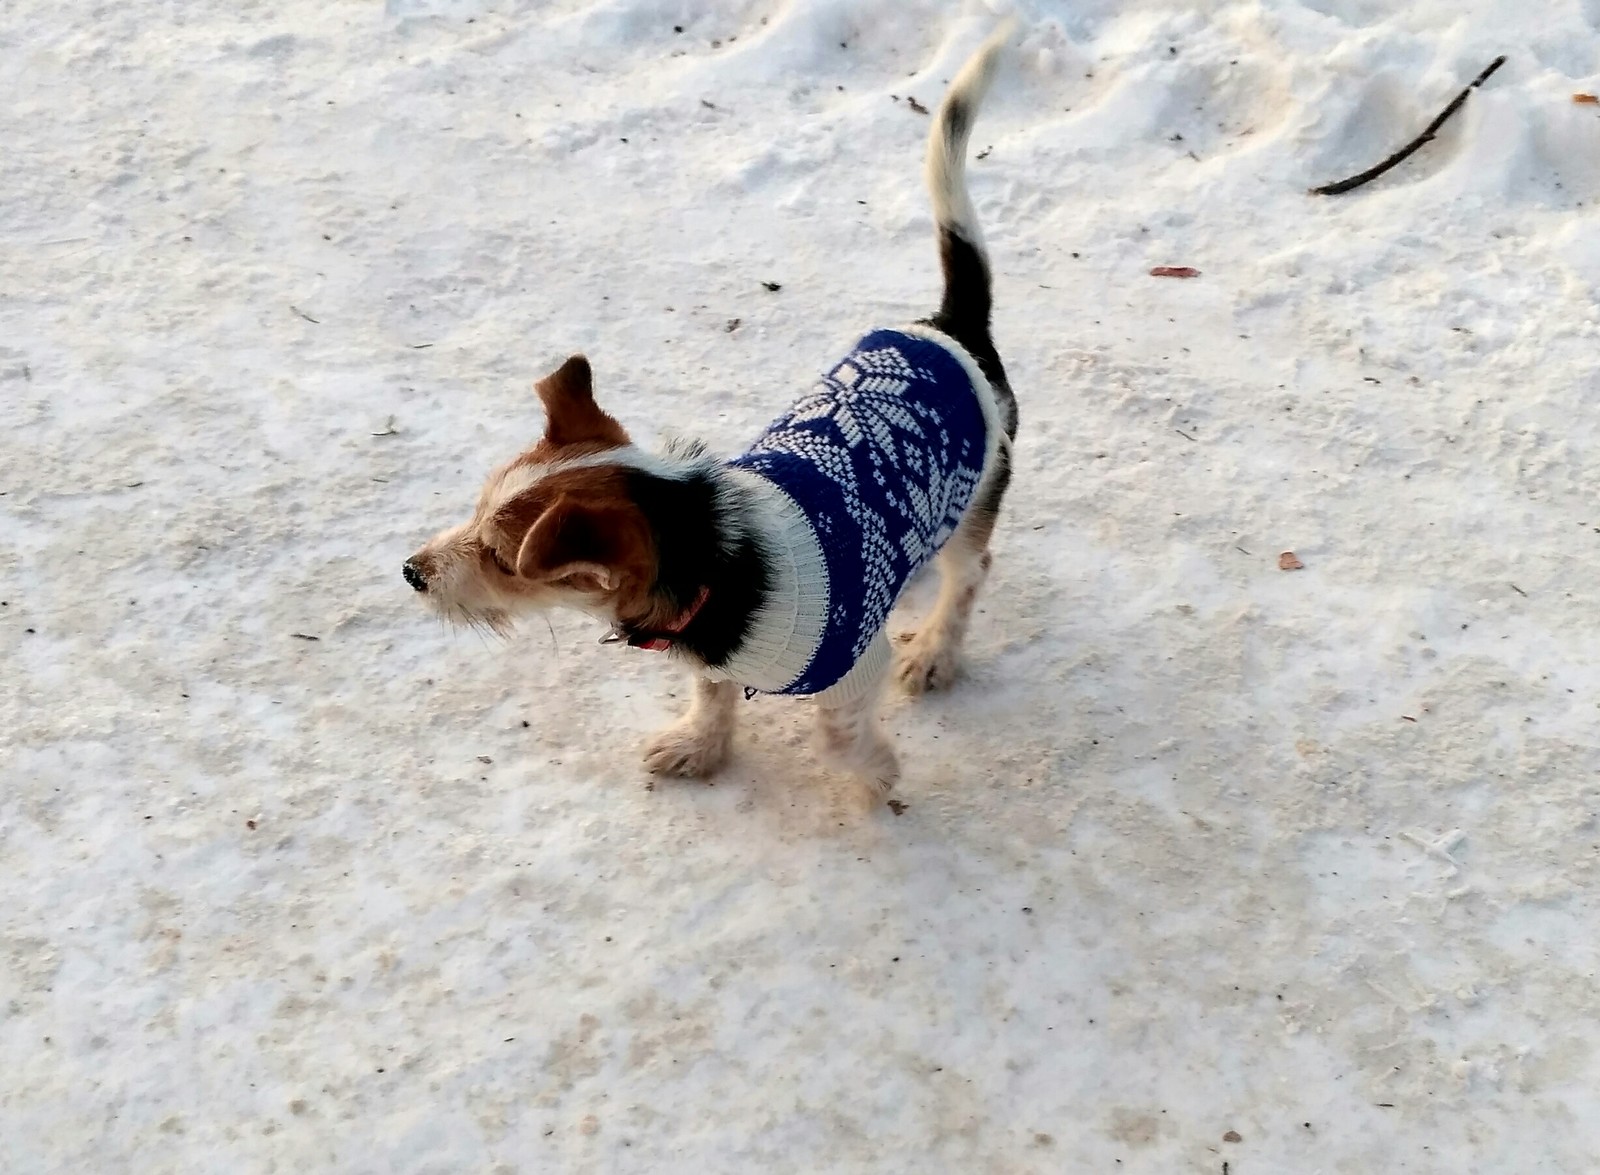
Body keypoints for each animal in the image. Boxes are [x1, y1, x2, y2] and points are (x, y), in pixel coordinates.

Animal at [406, 27, 1017, 806]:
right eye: (476, 513)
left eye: (499, 557)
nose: (412, 571)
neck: (716, 559)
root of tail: (950, 326)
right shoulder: (712, 661)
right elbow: (712, 692)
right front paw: (700, 744)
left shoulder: (856, 668)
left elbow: (838, 736)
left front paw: (878, 772)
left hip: (976, 501)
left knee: (971, 570)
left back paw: (938, 649)